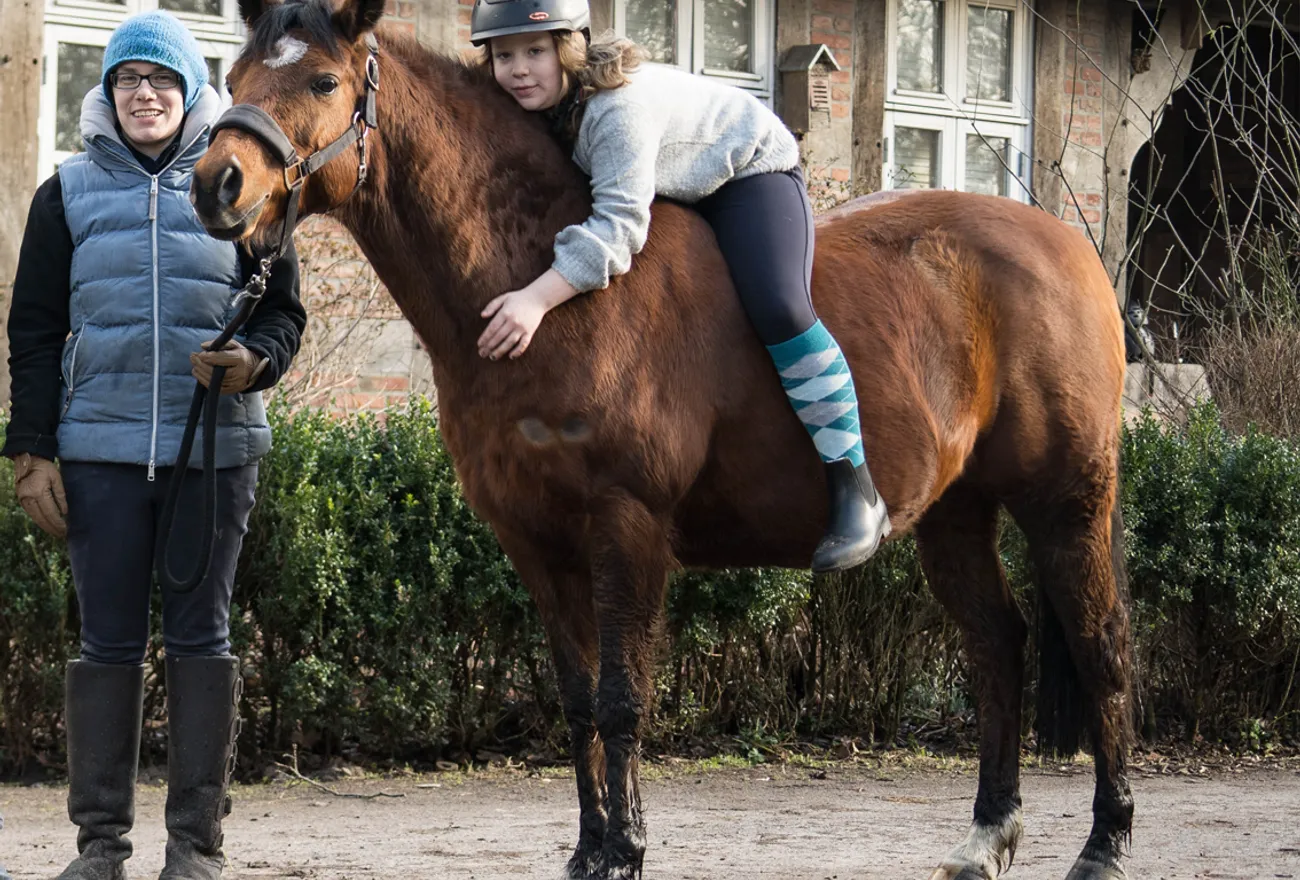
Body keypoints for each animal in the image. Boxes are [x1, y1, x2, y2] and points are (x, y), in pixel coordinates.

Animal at [191, 1, 1134, 877]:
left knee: (1101, 649)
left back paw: (1106, 841)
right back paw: (986, 837)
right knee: (996, 645)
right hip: (956, 513)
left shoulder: (627, 526)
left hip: (1068, 502)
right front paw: (588, 848)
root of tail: (1064, 242)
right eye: (232, 76)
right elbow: (576, 701)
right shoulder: (535, 542)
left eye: (323, 81)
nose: (216, 185)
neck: (547, 289)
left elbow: (621, 699)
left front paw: (625, 849)